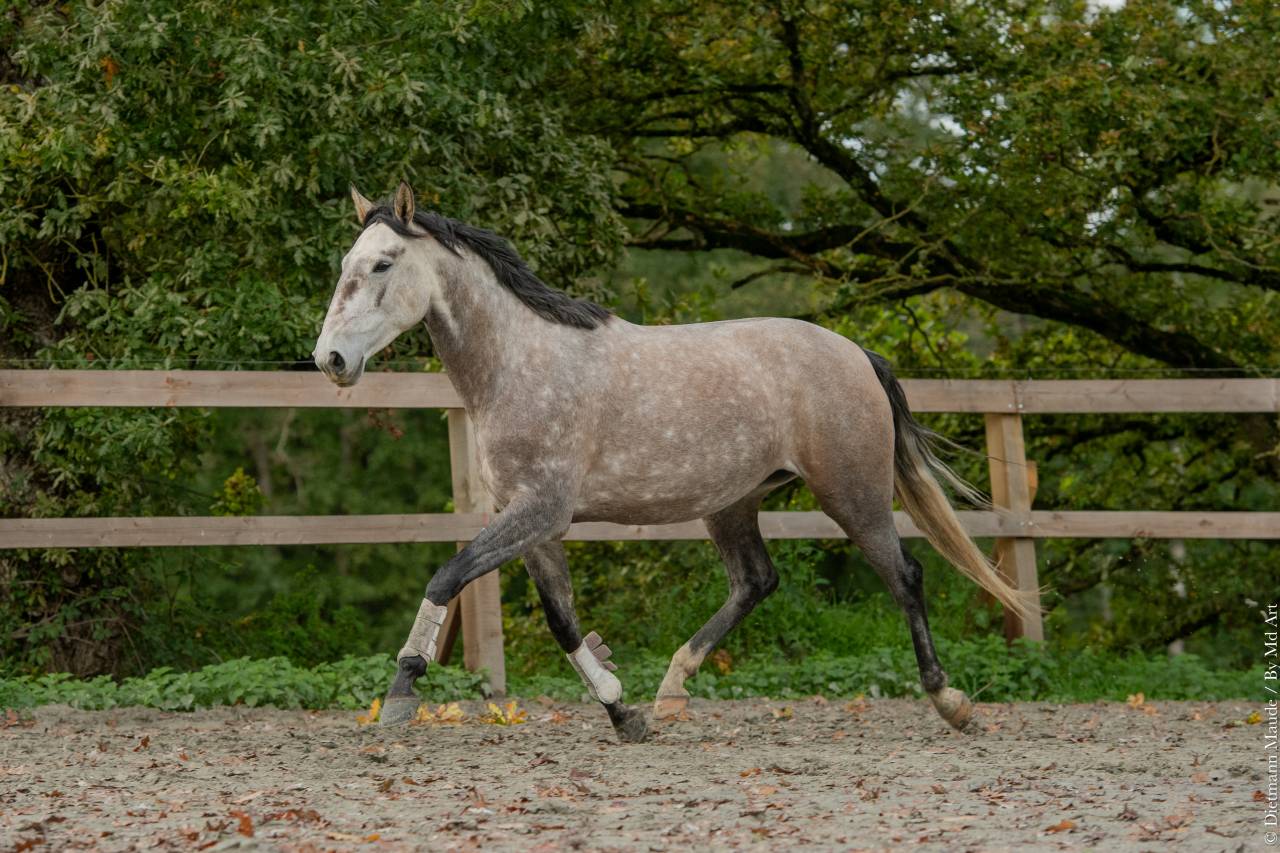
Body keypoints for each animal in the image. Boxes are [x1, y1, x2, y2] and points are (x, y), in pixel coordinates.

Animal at [313, 181, 1034, 742]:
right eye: (348, 261)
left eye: (382, 264)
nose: (331, 361)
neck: (519, 363)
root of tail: (856, 352)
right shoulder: (536, 523)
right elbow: (561, 617)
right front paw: (623, 712)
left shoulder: (539, 509)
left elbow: (447, 576)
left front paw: (401, 693)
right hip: (734, 501)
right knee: (756, 582)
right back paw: (671, 690)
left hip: (851, 493)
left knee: (904, 575)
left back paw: (951, 702)